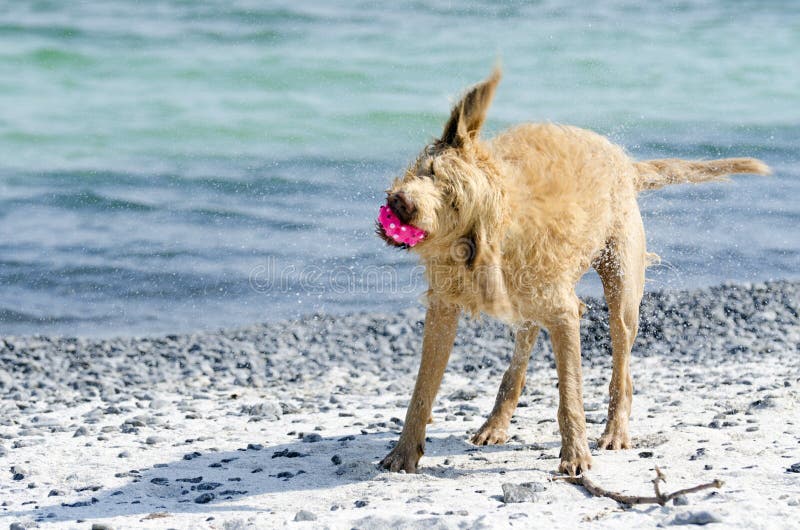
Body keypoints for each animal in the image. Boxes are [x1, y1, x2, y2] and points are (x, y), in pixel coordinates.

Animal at [378, 67, 772, 474]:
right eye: (429, 171)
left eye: (455, 203)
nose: (402, 203)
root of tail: (624, 162)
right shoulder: (443, 310)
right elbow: (422, 390)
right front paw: (404, 452)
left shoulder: (565, 316)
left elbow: (570, 393)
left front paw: (576, 454)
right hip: (532, 304)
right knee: (520, 357)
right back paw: (496, 423)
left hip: (621, 295)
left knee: (622, 371)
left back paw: (615, 431)